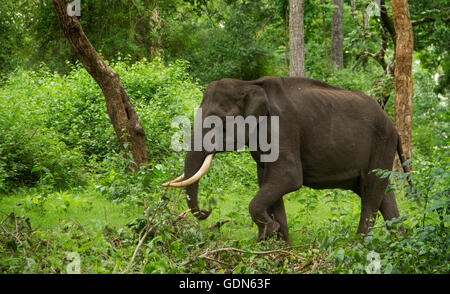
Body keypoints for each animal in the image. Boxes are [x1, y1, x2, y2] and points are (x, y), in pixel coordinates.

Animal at [163, 76, 410, 246]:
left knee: (371, 192)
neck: (250, 84)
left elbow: (288, 177)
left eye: (217, 121)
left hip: (381, 144)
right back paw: (401, 244)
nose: (208, 211)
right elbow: (267, 182)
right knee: (382, 193)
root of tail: (394, 128)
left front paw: (268, 232)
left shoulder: (283, 129)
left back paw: (357, 247)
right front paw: (281, 247)